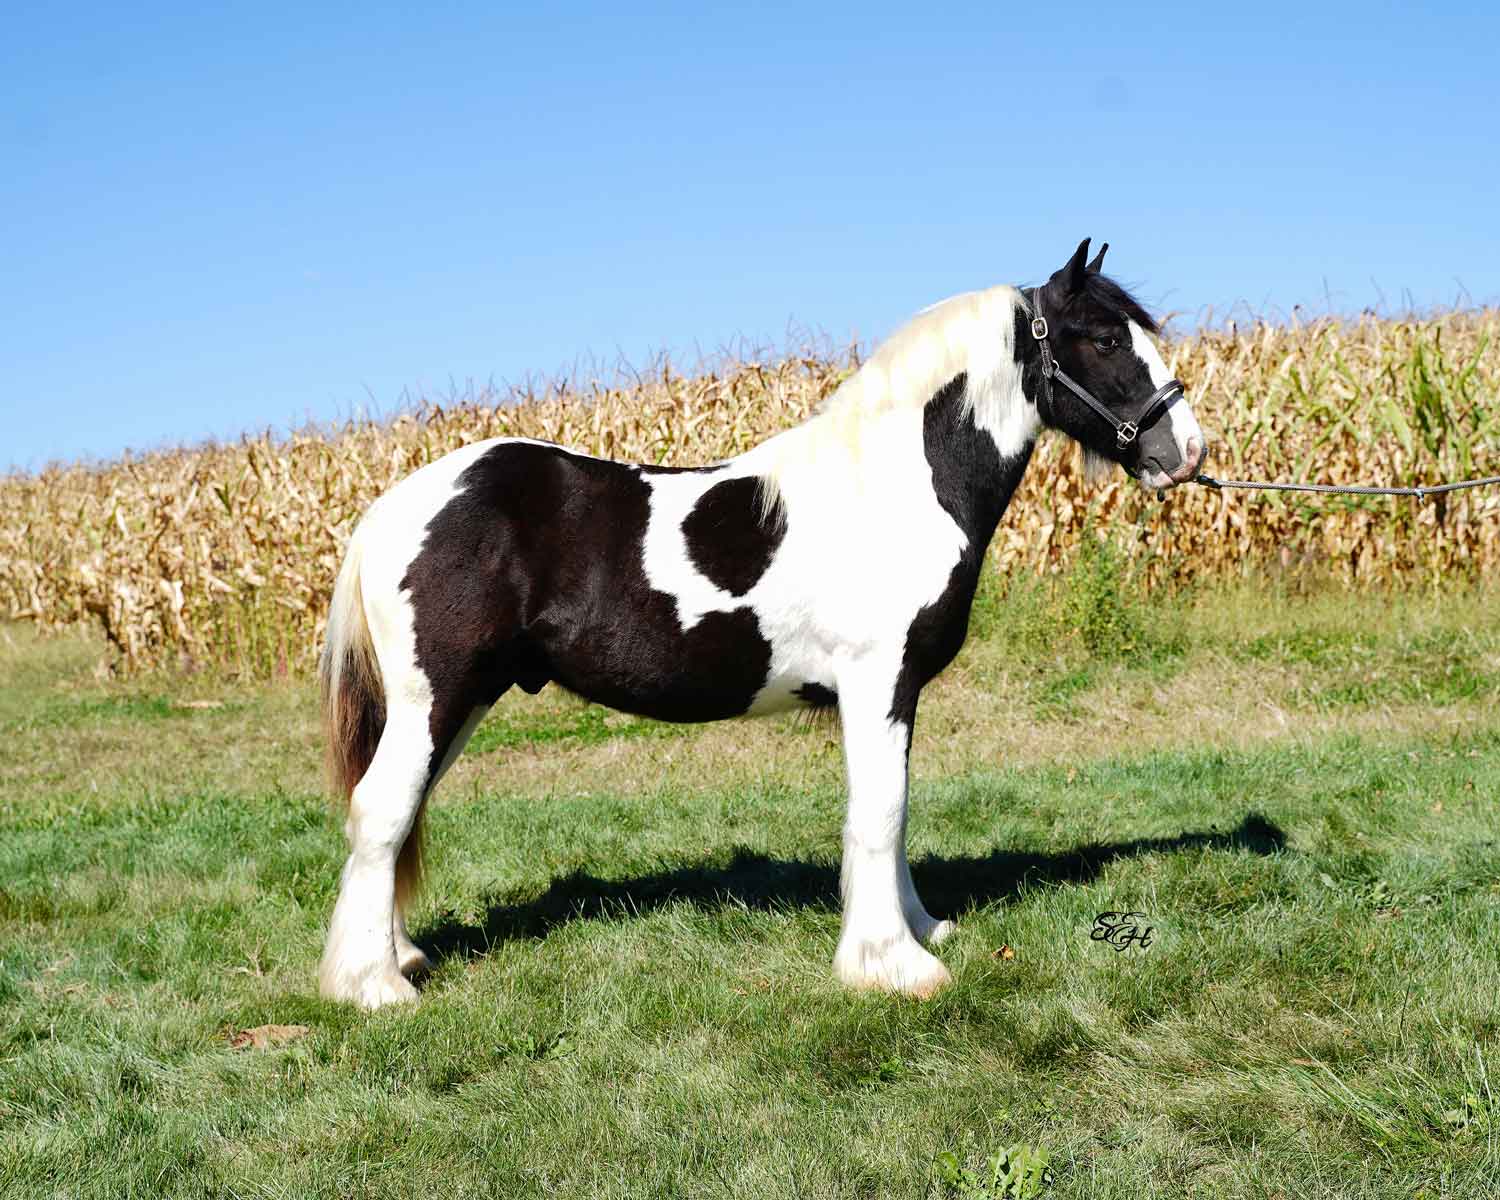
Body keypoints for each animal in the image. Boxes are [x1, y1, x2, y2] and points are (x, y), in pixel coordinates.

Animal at [318, 238, 1207, 1009]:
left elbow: (895, 809)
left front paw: (920, 929)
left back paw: (398, 958)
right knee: (382, 810)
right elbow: (879, 813)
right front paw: (893, 966)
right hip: (438, 696)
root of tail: (391, 507)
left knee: (398, 813)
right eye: (1104, 338)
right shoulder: (877, 680)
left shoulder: (897, 691)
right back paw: (374, 988)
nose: (1187, 451)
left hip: (460, 700)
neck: (894, 487)